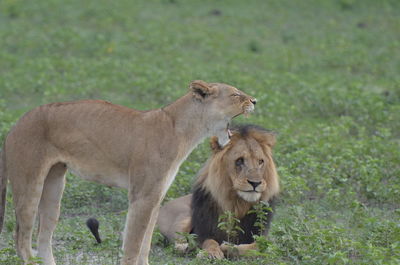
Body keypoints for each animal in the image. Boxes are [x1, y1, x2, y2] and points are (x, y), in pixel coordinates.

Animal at [0, 80, 256, 264]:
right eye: (235, 95)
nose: (255, 100)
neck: (184, 130)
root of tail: (16, 124)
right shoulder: (142, 196)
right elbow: (134, 242)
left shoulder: (155, 196)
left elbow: (145, 243)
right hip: (29, 183)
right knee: (20, 238)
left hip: (54, 186)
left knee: (43, 236)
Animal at [156, 124, 278, 258]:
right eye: (239, 160)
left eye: (260, 161)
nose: (255, 183)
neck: (235, 204)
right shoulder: (204, 230)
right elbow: (209, 241)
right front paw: (212, 253)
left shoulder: (263, 236)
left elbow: (257, 246)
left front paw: (227, 247)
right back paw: (185, 247)